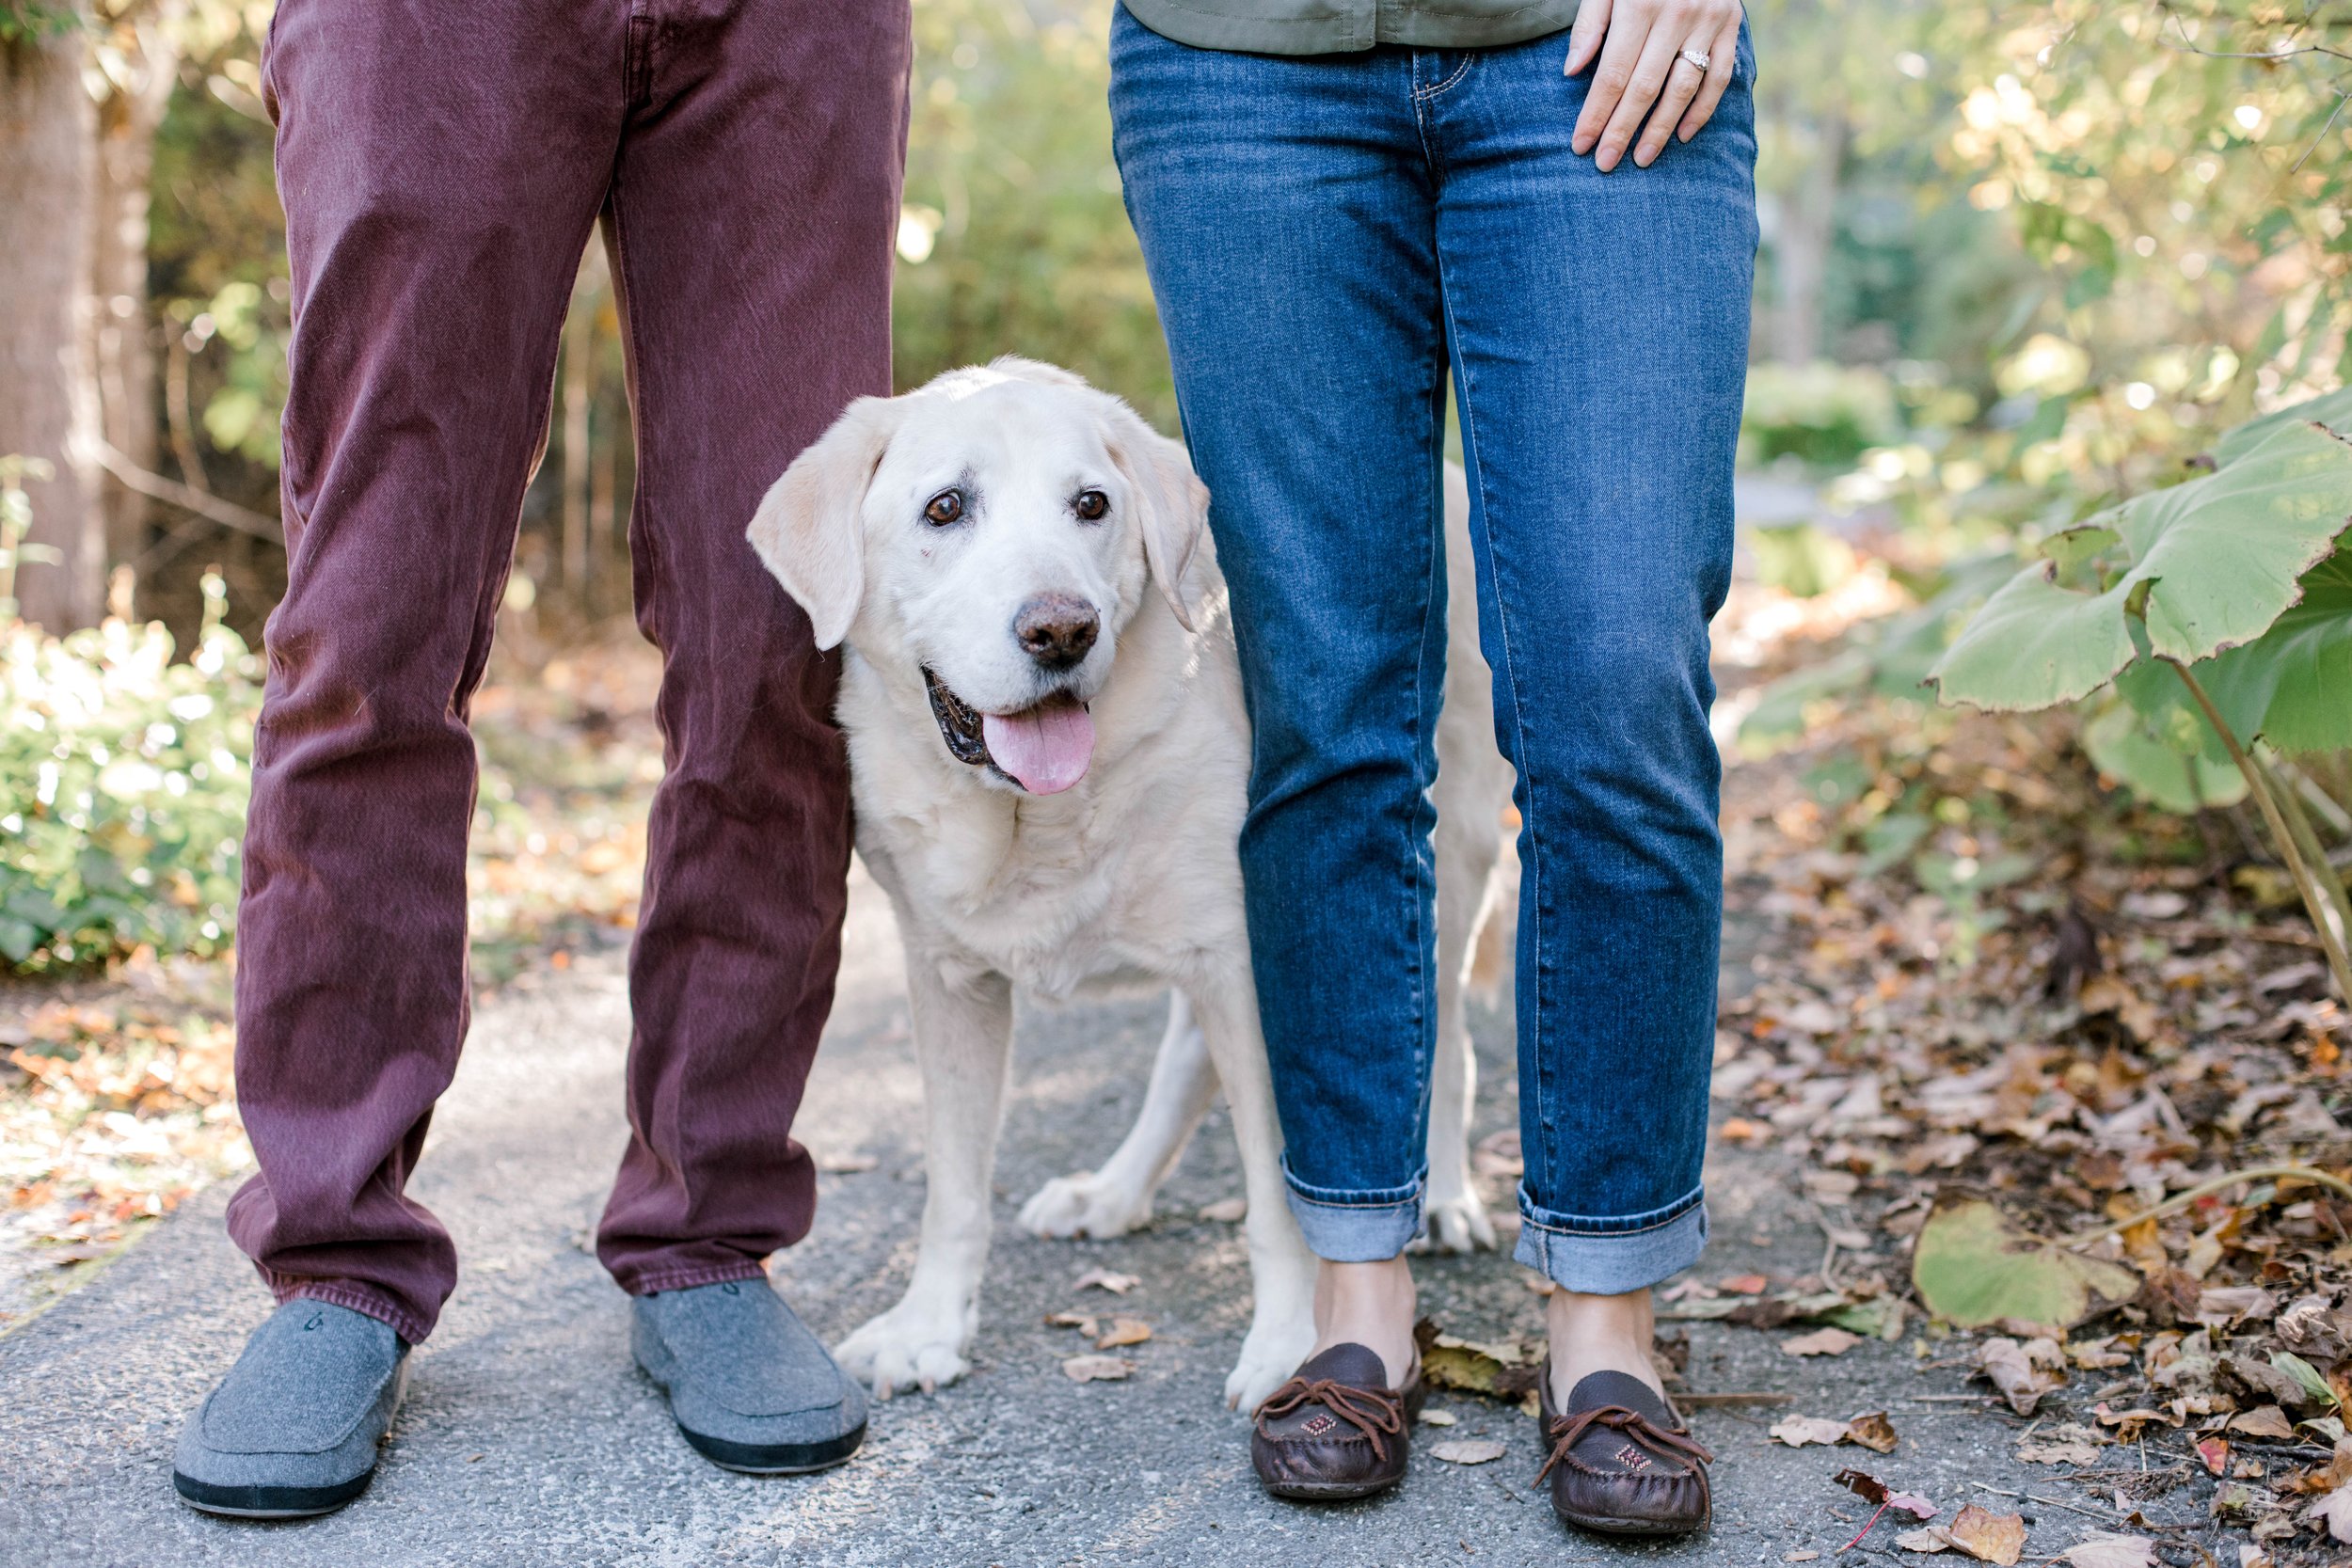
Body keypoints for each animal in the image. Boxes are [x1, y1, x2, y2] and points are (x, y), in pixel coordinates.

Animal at [748, 361, 1505, 1419]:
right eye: (945, 507)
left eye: (1091, 505)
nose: (1062, 628)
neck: (1036, 815)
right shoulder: (948, 978)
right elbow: (953, 1187)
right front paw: (929, 1326)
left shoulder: (1247, 957)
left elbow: (1283, 1196)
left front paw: (1291, 1341)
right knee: (1188, 1059)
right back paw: (1111, 1192)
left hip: (1444, 859)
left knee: (1439, 1039)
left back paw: (1441, 1200)